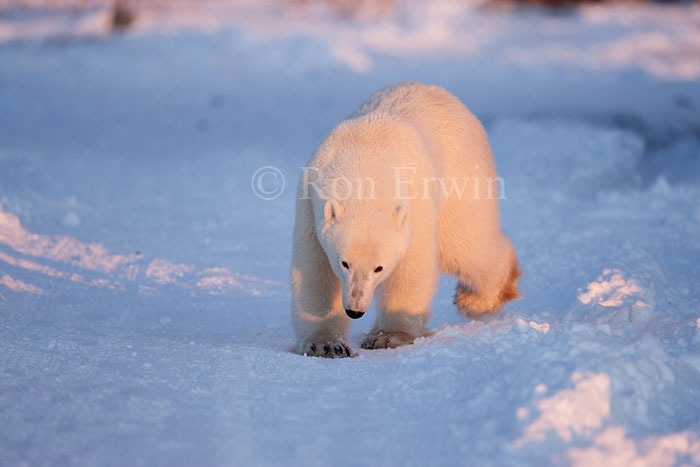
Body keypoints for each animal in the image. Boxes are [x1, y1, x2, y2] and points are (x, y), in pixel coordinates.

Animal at [290, 82, 520, 358]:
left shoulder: (415, 200)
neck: (365, 157)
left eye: (379, 268)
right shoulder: (309, 200)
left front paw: (388, 336)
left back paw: (478, 299)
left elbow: (411, 267)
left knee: (466, 245)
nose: (355, 310)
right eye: (344, 263)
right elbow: (315, 270)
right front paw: (325, 344)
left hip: (462, 176)